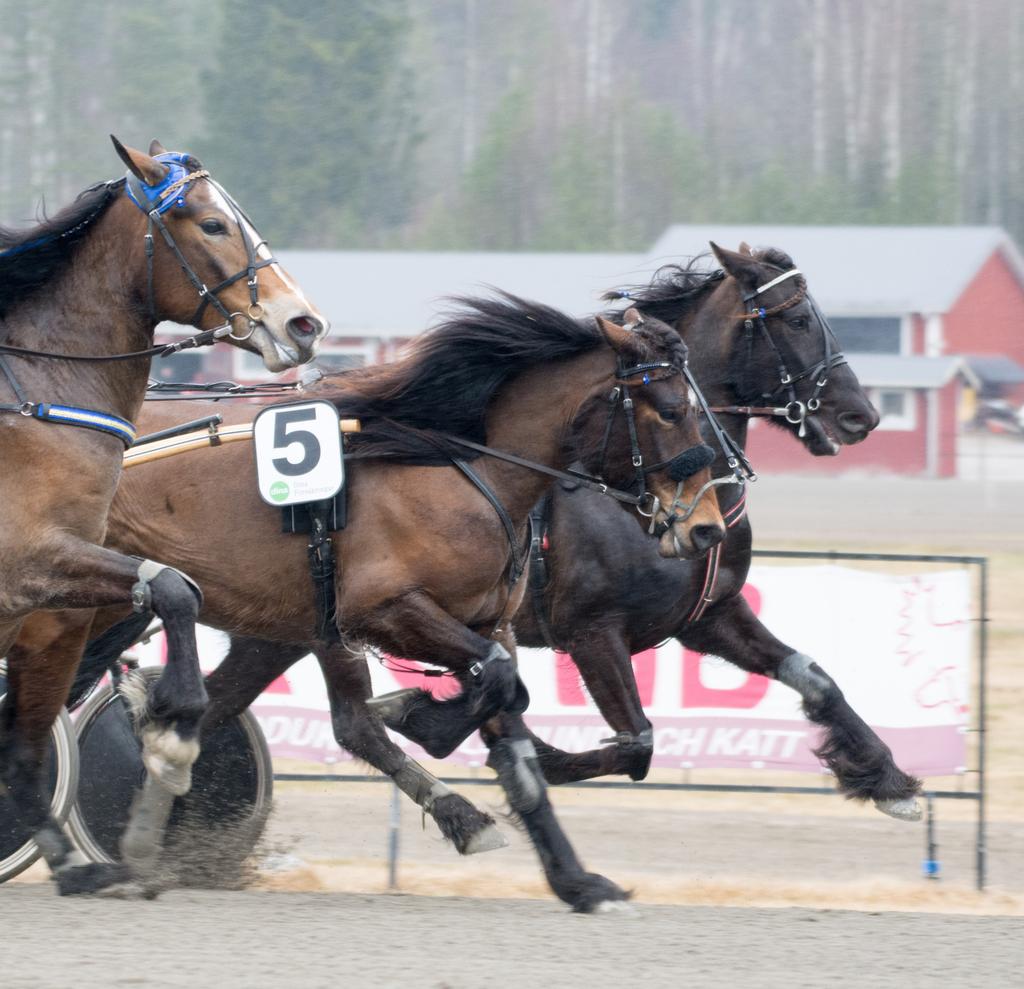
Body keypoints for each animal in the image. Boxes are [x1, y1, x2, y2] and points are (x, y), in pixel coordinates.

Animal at [0, 133, 325, 896]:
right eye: (211, 223)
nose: (302, 322)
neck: (36, 398)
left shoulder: (55, 599)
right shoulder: (30, 562)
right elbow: (175, 588)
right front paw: (171, 732)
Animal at [74, 290, 729, 909]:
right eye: (673, 410)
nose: (708, 529)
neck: (458, 470)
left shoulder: (489, 625)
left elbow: (512, 725)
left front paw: (578, 882)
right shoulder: (380, 610)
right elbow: (494, 683)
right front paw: (421, 716)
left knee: (231, 711)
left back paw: (145, 839)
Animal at [503, 241, 929, 819]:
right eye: (799, 319)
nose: (861, 415)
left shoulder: (711, 615)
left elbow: (814, 678)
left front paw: (885, 775)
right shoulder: (592, 632)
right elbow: (636, 742)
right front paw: (524, 756)